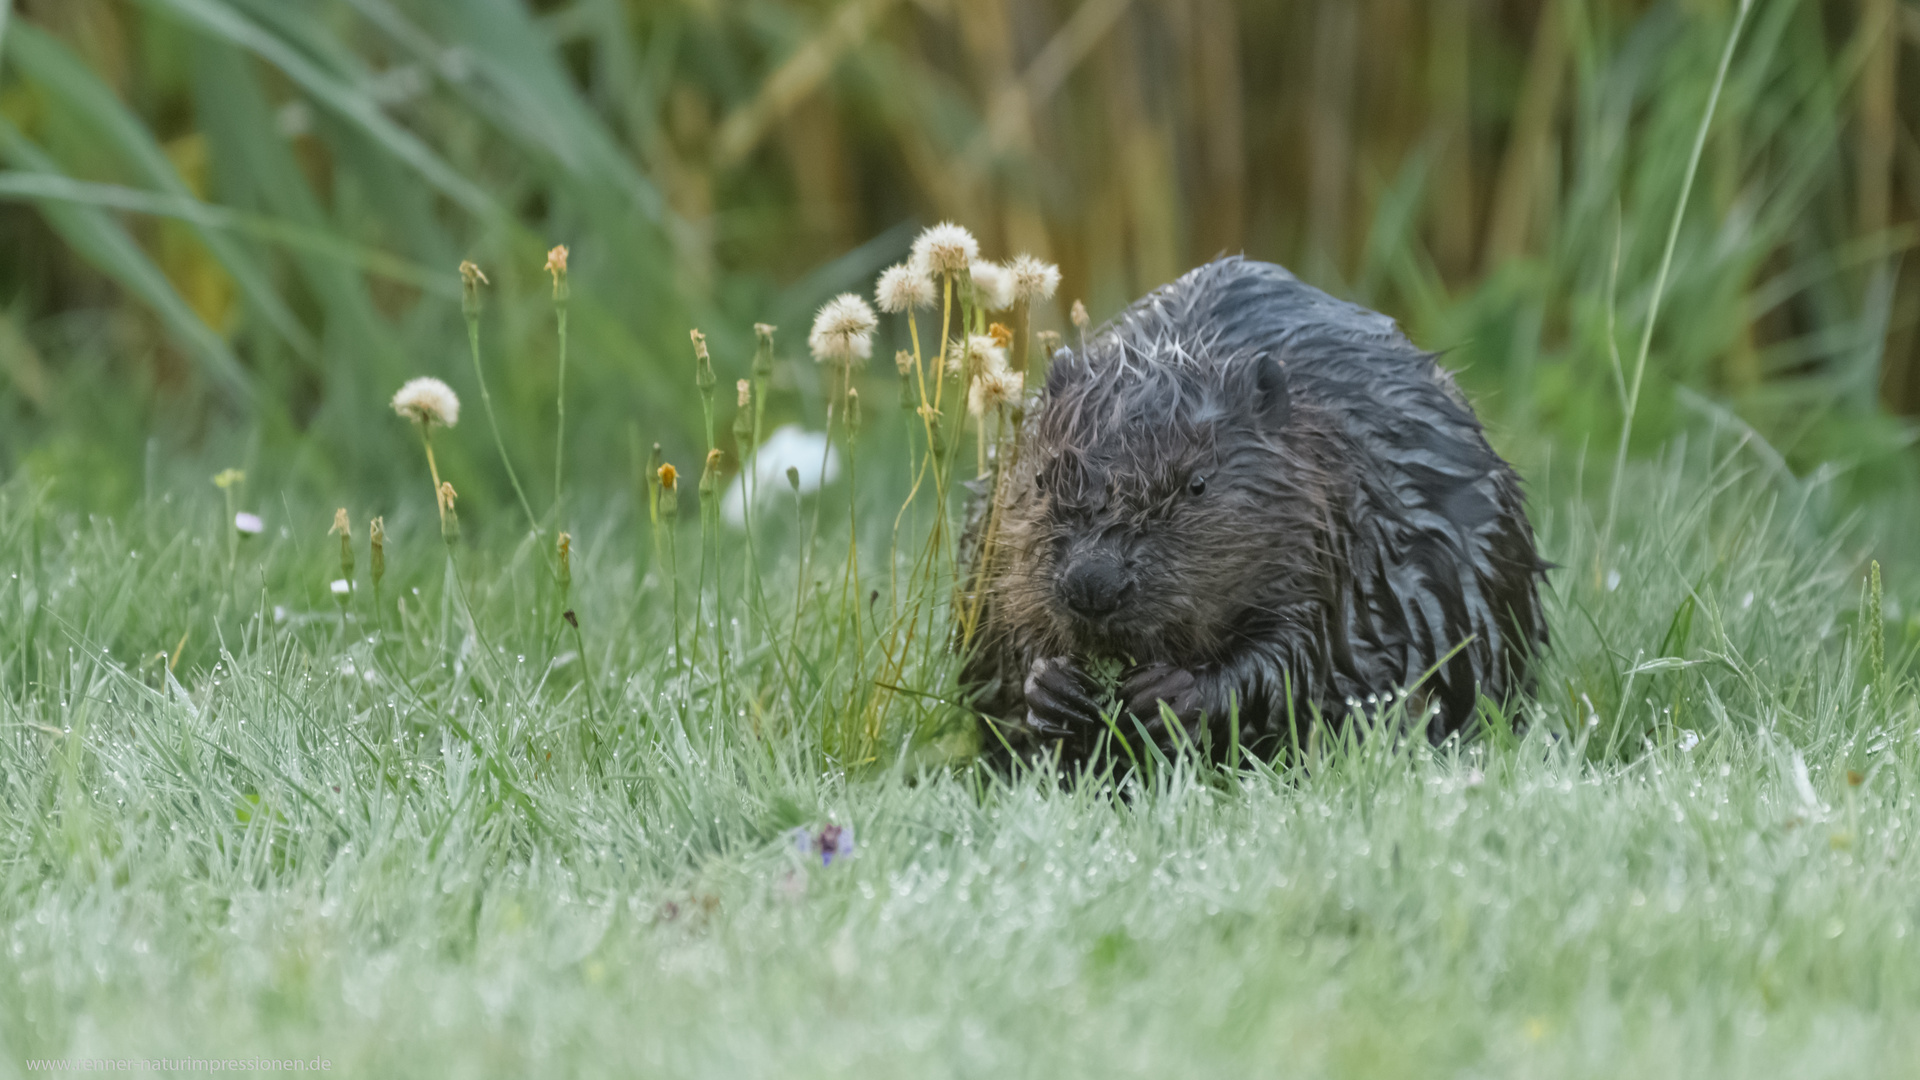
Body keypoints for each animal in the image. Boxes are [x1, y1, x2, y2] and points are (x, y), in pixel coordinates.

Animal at [960, 253, 1543, 757]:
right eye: (1041, 478)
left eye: (1197, 484)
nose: (1092, 584)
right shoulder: (994, 550)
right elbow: (1003, 625)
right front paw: (1051, 685)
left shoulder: (1345, 537)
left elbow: (1301, 653)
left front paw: (1175, 693)